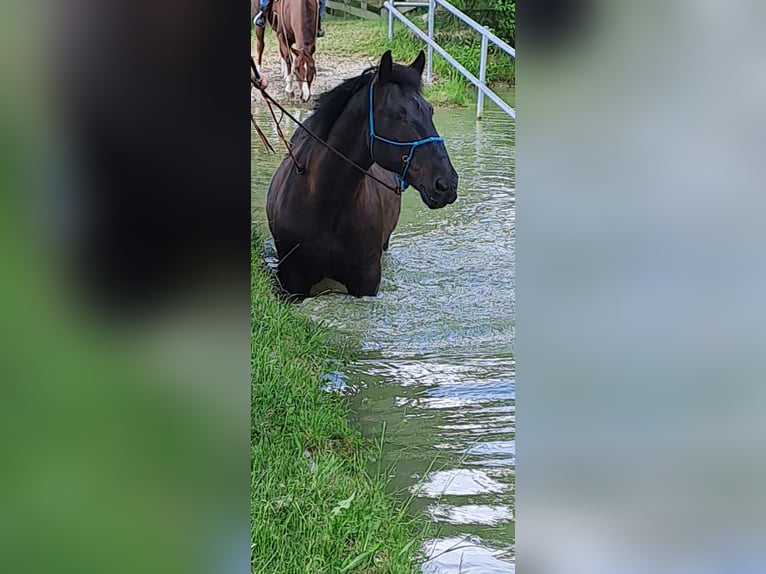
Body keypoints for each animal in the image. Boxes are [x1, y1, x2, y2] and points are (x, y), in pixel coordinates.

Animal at [266, 50, 459, 297]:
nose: (446, 184)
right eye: (398, 114)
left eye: (430, 110)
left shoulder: (366, 280)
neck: (324, 204)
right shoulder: (292, 279)